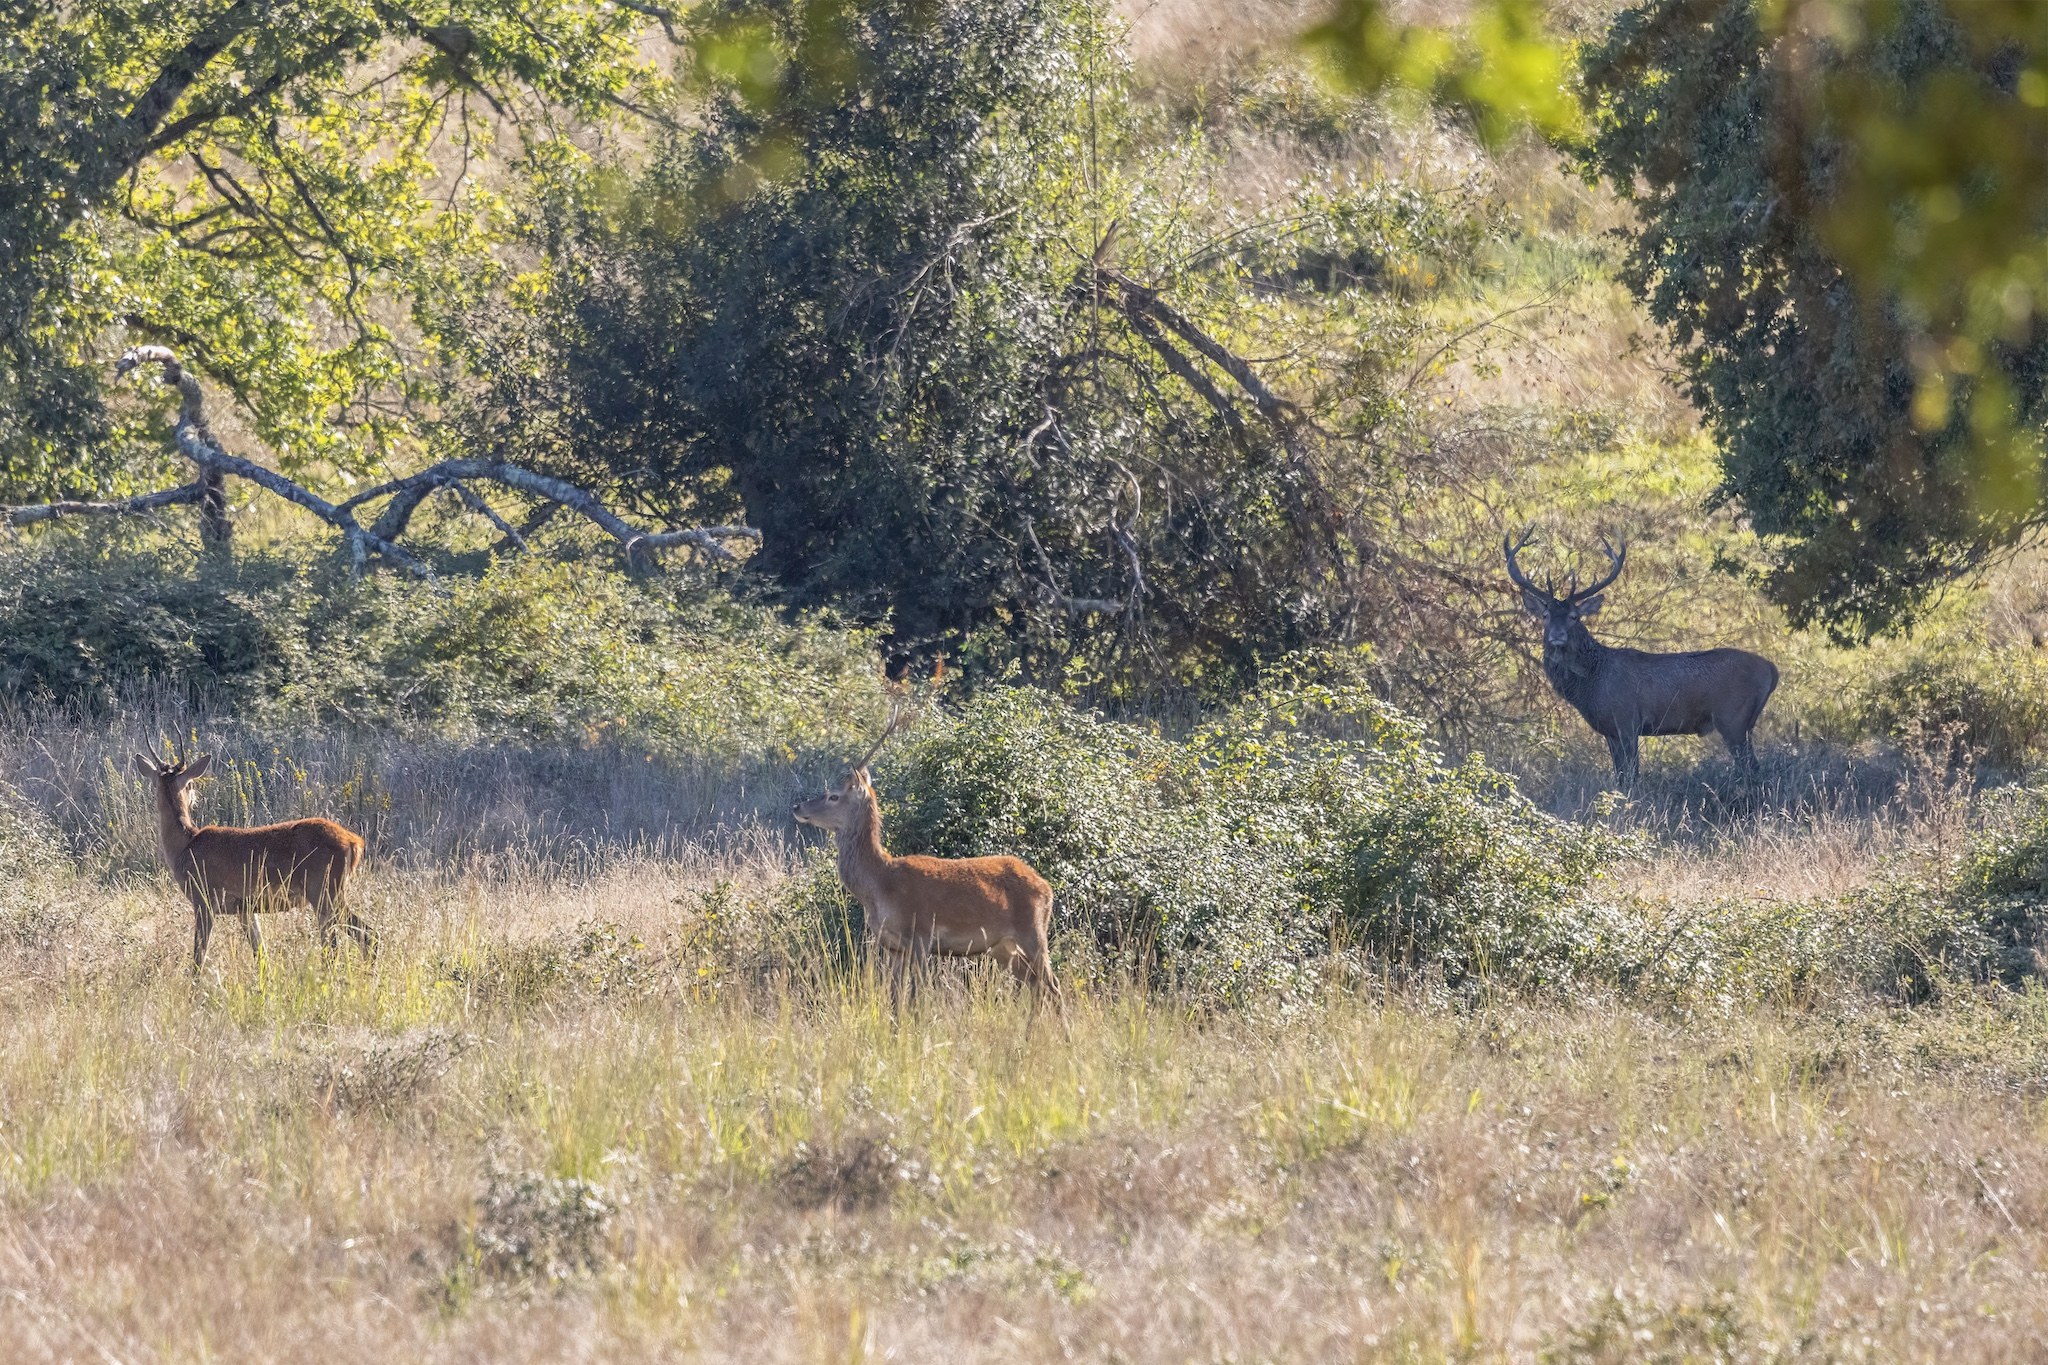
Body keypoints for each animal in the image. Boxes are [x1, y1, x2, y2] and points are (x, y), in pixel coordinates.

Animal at [131, 749, 370, 971]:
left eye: (189, 784)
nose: (196, 797)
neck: (185, 845)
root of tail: (355, 842)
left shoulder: (204, 900)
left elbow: (199, 956)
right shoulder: (245, 908)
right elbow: (261, 954)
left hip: (324, 891)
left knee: (357, 938)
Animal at [792, 716, 1063, 1015]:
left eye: (833, 796)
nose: (797, 807)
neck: (880, 885)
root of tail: (1046, 887)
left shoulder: (921, 935)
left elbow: (918, 998)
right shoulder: (892, 946)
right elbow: (895, 999)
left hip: (1034, 932)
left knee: (1053, 985)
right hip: (1003, 946)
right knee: (1036, 986)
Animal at [1504, 530, 1780, 786]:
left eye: (1574, 616)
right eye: (1546, 616)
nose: (1557, 636)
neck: (1592, 683)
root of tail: (1772, 670)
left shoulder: (1627, 721)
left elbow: (1631, 776)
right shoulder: (1610, 731)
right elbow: (1619, 775)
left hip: (1733, 718)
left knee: (1752, 768)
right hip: (1744, 722)